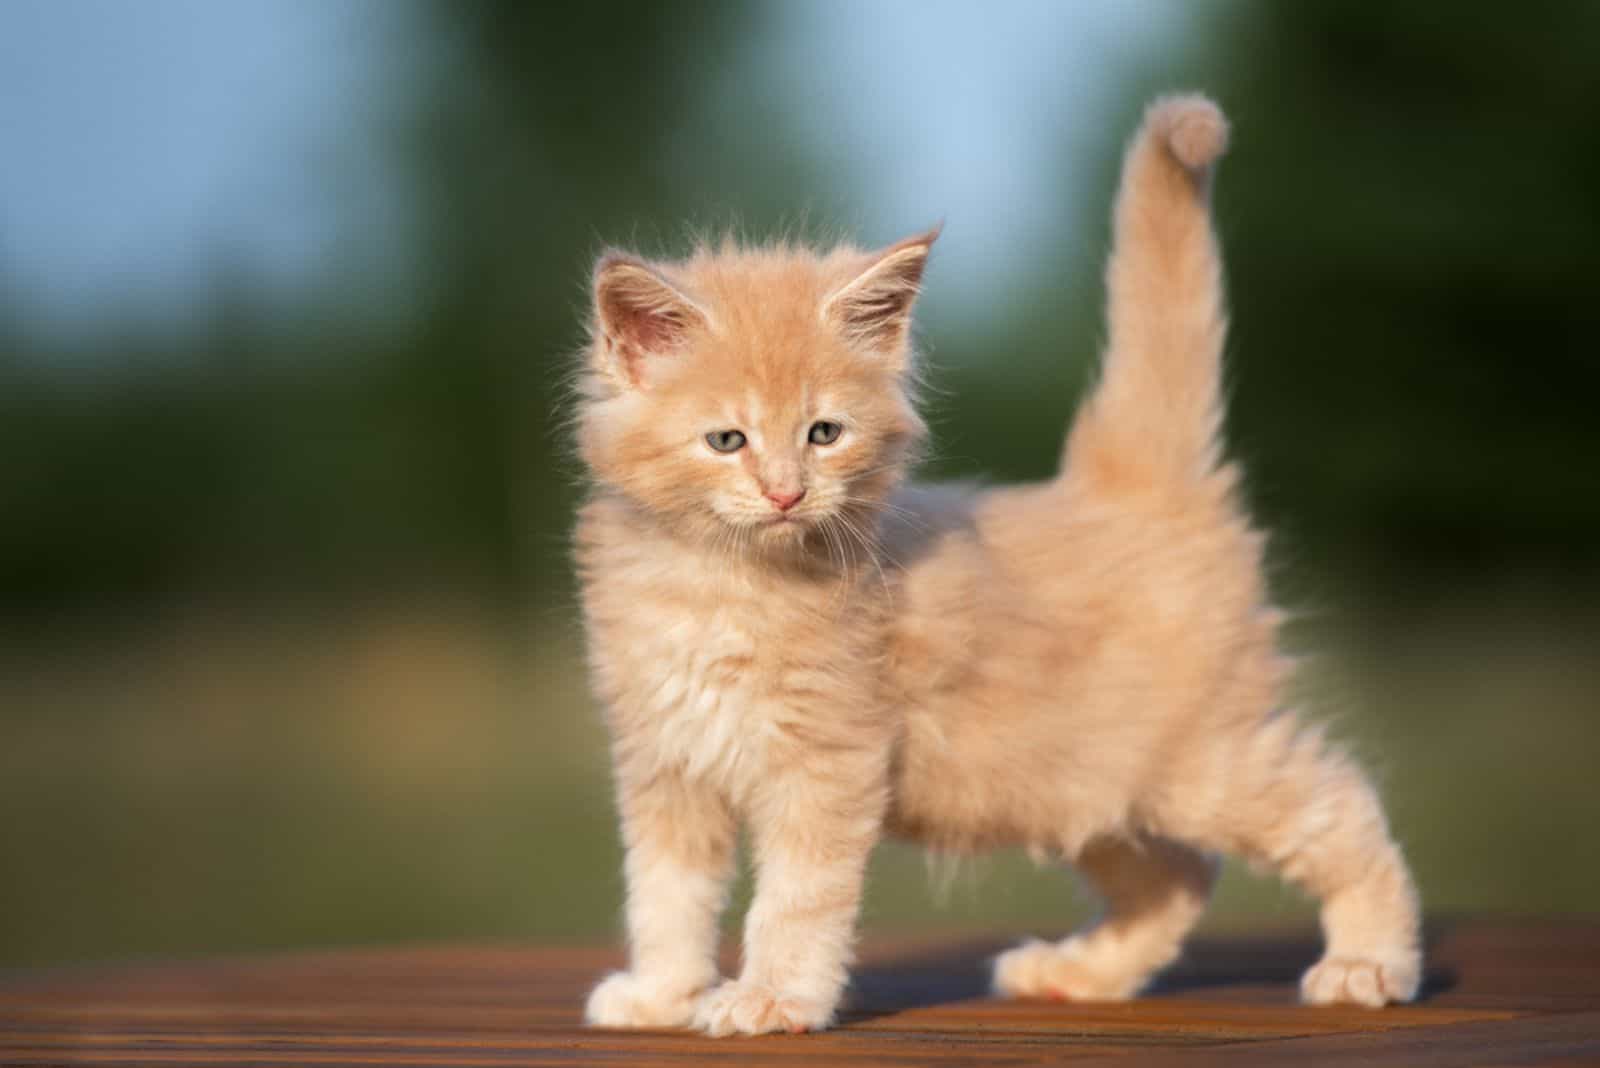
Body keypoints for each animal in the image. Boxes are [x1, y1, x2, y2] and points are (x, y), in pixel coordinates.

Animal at [576, 93, 1427, 1036]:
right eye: (727, 441)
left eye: (824, 434)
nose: (787, 493)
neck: (721, 585)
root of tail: (1129, 485)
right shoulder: (664, 764)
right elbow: (667, 896)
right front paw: (661, 993)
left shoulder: (826, 763)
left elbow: (795, 901)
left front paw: (771, 998)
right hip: (1072, 781)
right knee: (1178, 874)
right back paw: (1080, 974)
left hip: (1197, 759)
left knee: (1342, 807)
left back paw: (1368, 963)